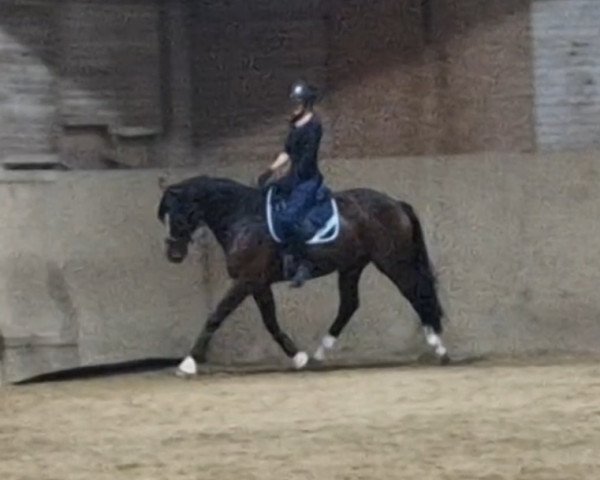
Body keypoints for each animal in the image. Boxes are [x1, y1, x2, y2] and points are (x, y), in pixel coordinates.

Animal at [157, 174, 448, 376]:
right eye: (165, 215)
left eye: (178, 213)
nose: (173, 254)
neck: (243, 217)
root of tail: (396, 203)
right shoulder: (258, 283)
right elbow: (270, 322)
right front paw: (298, 357)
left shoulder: (246, 280)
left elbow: (217, 316)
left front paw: (188, 363)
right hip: (352, 266)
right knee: (349, 304)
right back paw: (319, 354)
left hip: (392, 262)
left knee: (414, 293)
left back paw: (439, 346)